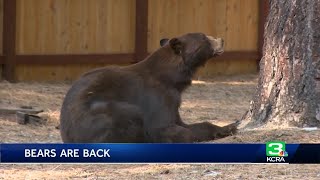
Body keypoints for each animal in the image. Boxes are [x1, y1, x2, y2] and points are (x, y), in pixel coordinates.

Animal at [60, 32, 239, 142]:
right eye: (204, 37)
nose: (221, 39)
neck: (172, 78)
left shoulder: (174, 100)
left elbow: (184, 122)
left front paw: (229, 127)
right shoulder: (157, 95)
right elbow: (161, 125)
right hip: (100, 113)